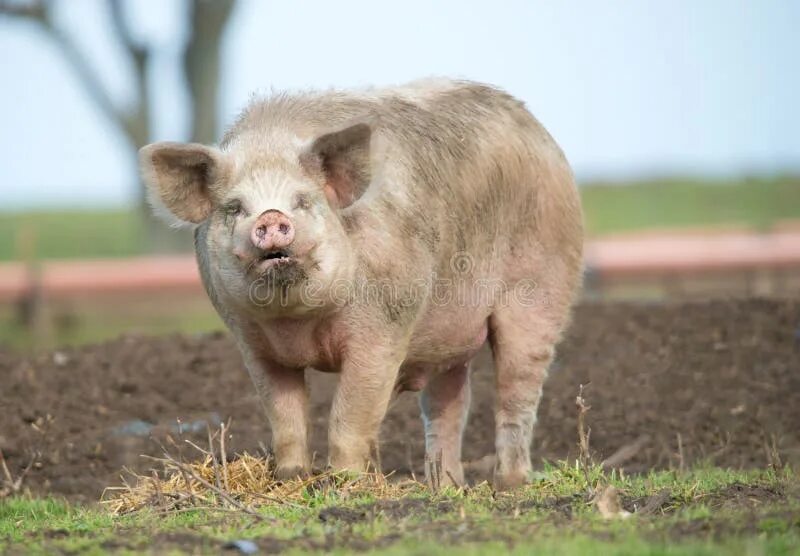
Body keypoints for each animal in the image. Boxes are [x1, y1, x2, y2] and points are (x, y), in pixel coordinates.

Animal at [140, 78, 583, 490]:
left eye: (303, 201)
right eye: (235, 208)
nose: (271, 217)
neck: (296, 322)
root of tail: (541, 134)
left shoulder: (383, 329)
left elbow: (349, 414)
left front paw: (345, 481)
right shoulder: (252, 343)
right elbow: (285, 417)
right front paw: (291, 478)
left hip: (541, 286)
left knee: (517, 394)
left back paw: (510, 485)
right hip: (449, 335)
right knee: (449, 405)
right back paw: (446, 488)